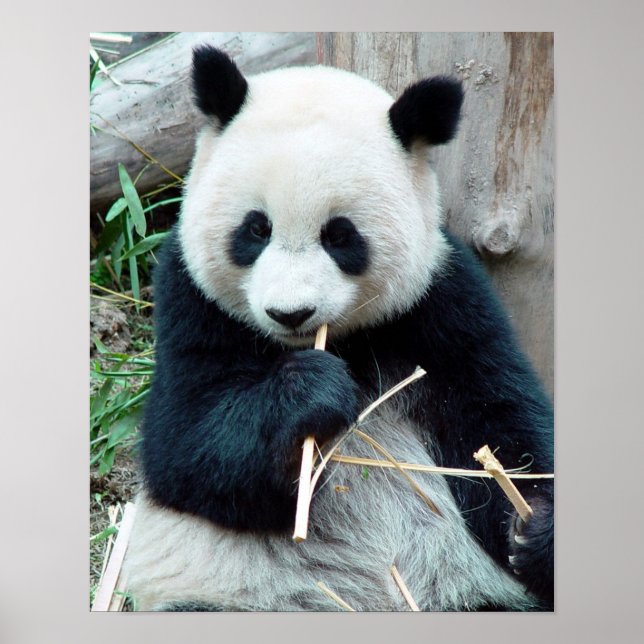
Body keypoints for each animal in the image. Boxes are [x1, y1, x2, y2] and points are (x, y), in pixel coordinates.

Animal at [123, 45, 554, 612]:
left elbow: (500, 422)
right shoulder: (189, 298)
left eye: (340, 235)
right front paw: (311, 393)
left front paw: (537, 532)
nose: (290, 313)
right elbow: (183, 441)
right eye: (256, 228)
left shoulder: (442, 298)